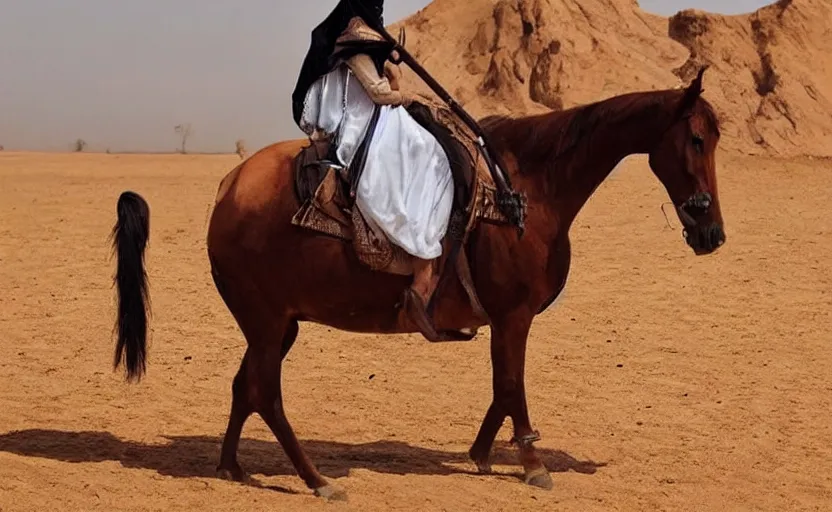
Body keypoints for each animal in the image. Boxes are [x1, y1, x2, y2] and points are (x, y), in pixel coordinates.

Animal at [109, 68, 720, 500]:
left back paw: (232, 465)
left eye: (715, 139)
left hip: (278, 324)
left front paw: (481, 453)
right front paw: (532, 465)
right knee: (265, 393)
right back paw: (316, 480)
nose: (711, 232)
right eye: (695, 139)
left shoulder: (504, 320)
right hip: (264, 321)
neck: (529, 187)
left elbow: (502, 387)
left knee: (245, 388)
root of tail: (229, 185)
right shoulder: (514, 315)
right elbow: (512, 385)